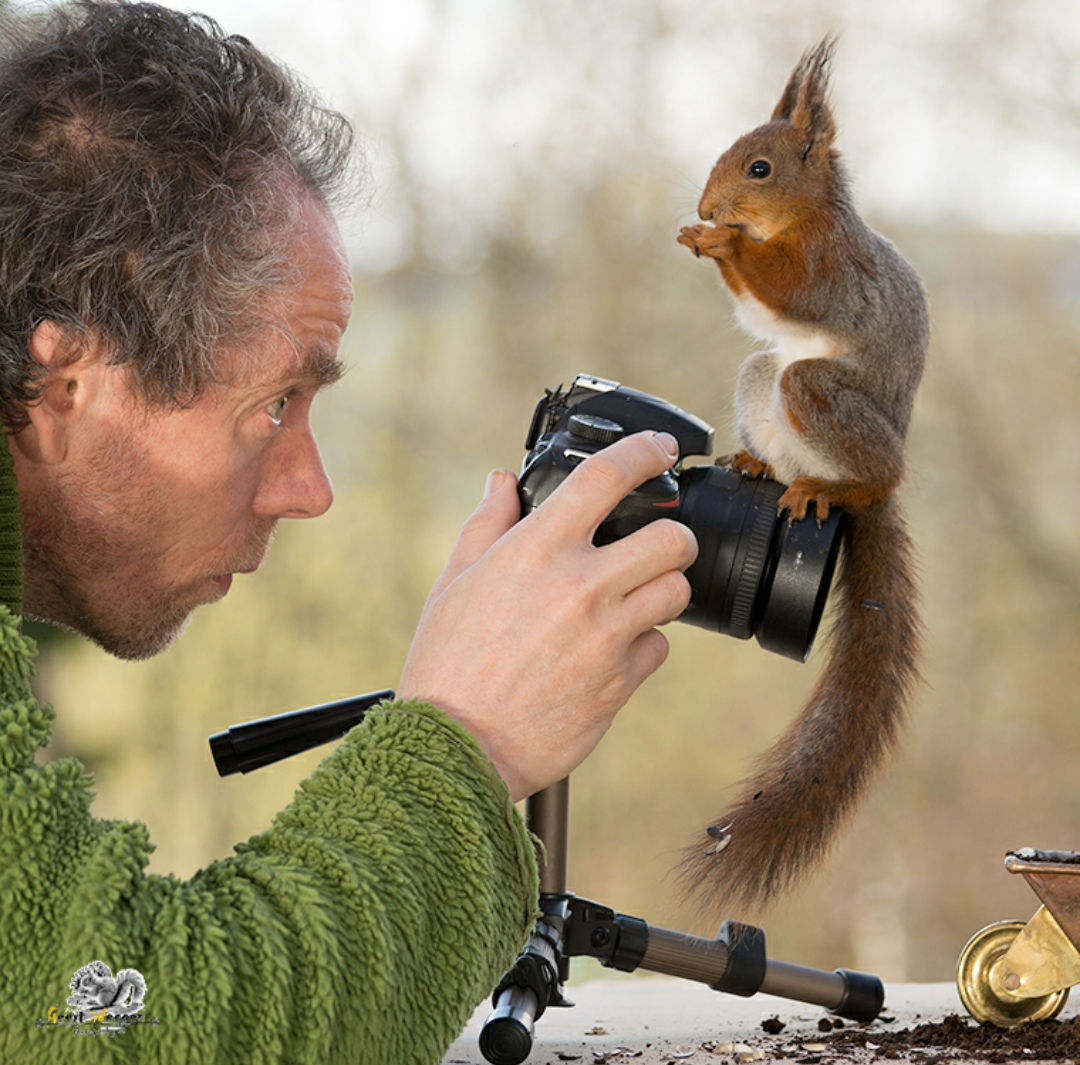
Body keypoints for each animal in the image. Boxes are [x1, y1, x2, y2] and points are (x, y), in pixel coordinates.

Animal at [678, 35, 924, 911]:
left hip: (820, 398)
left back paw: (835, 488)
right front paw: (703, 239)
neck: (803, 217)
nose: (708, 205)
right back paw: (759, 461)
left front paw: (721, 244)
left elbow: (789, 289)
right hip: (764, 380)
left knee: (867, 472)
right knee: (768, 392)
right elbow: (760, 309)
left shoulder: (830, 268)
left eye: (759, 168)